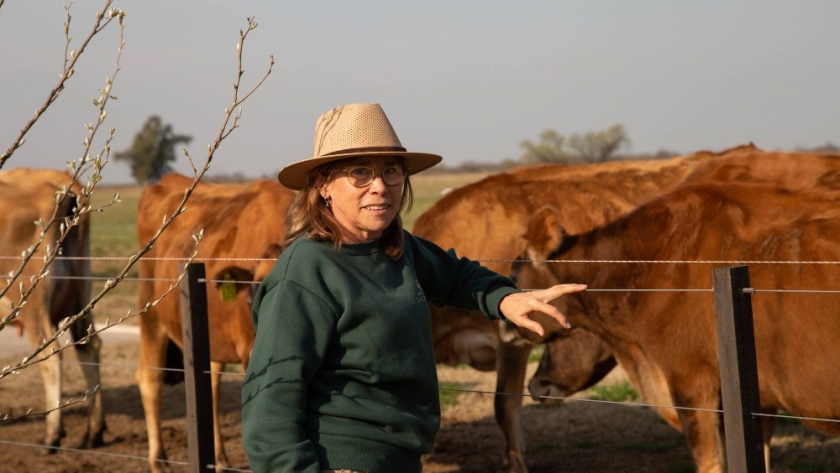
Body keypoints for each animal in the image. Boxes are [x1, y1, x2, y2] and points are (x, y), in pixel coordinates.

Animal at [0, 169, 104, 450]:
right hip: (81, 297)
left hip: (32, 304)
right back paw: (93, 432)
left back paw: (52, 435)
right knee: (89, 346)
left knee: (51, 355)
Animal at [136, 174, 294, 472]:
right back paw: (159, 460)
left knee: (212, 386)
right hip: (150, 313)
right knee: (150, 380)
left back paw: (219, 459)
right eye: (251, 302)